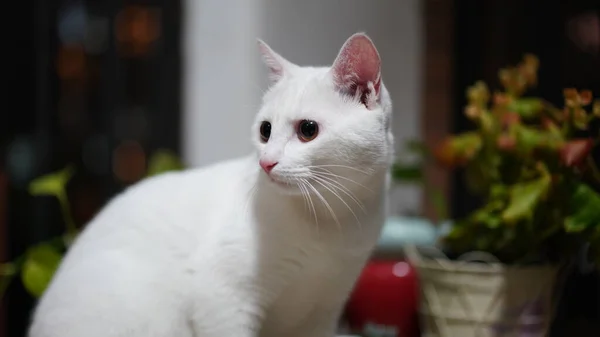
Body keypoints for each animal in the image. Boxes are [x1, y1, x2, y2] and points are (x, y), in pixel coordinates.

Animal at [27, 32, 394, 336]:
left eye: (308, 130)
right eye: (265, 130)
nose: (266, 162)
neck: (328, 219)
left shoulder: (322, 314)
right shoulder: (222, 301)